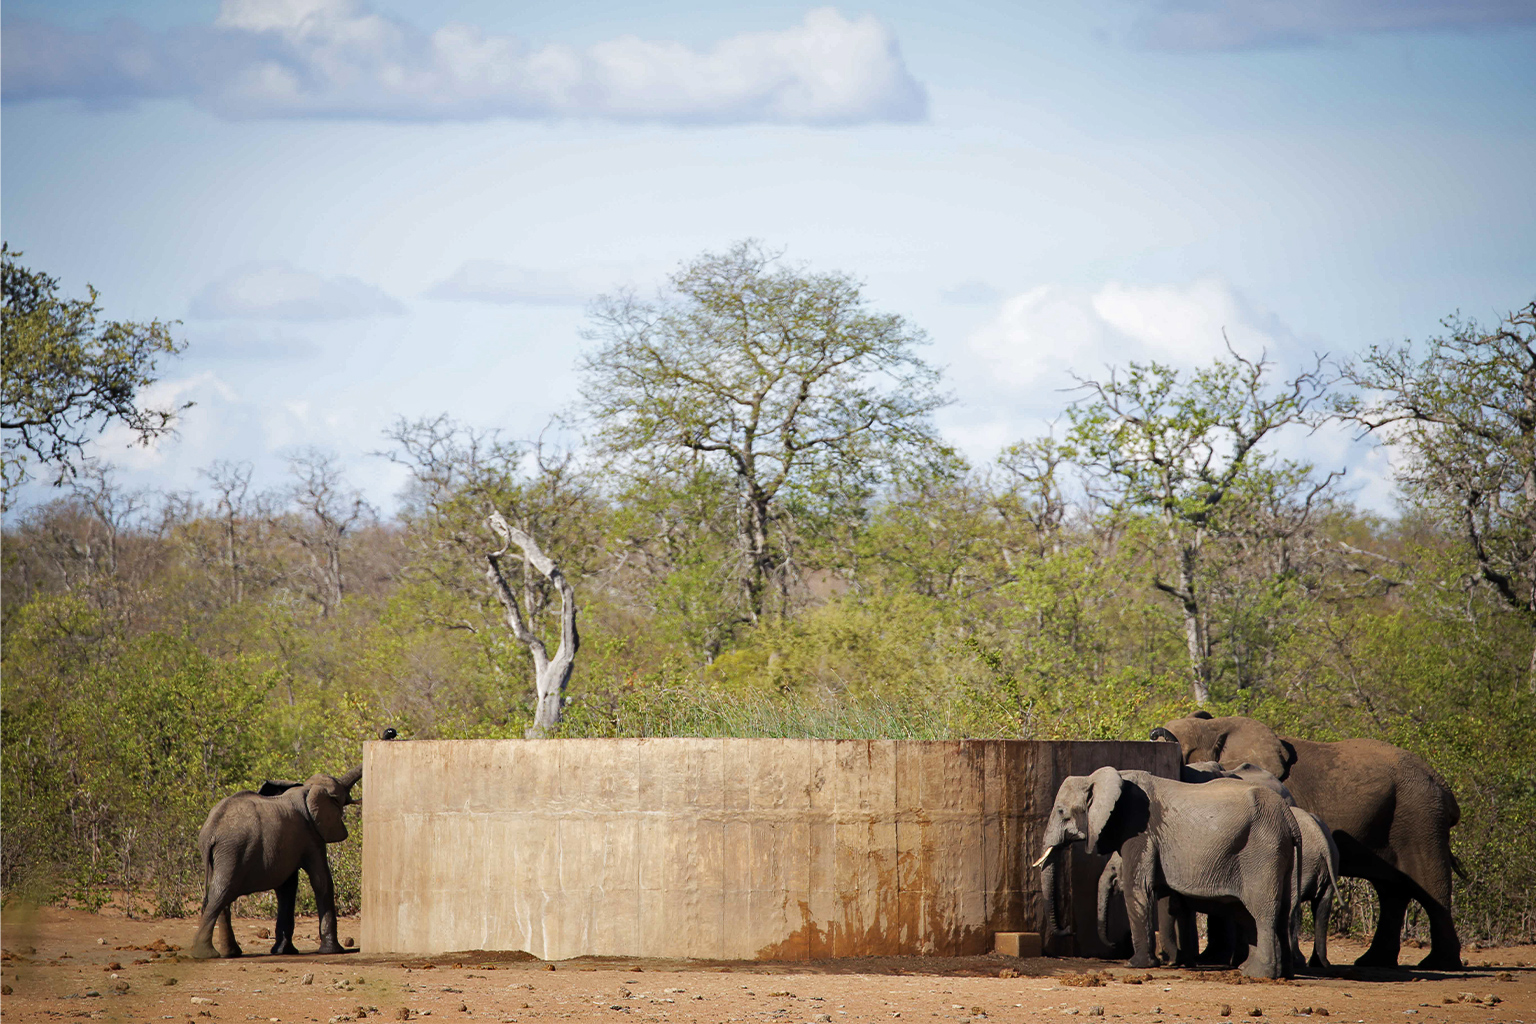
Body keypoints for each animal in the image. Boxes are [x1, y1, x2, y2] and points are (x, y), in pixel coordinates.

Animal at [188, 767, 359, 964]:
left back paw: (228, 953)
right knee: (221, 893)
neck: (306, 790)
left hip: (223, 854)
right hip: (233, 850)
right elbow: (321, 881)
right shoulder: (311, 836)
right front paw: (333, 951)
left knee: (221, 895)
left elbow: (287, 888)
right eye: (339, 798)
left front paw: (284, 951)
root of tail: (211, 831)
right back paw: (206, 954)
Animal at [1032, 767, 1296, 976]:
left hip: (1262, 850)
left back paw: (1259, 974)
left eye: (1061, 812)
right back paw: (1277, 972)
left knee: (1262, 910)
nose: (1068, 930)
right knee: (1280, 912)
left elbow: (1138, 887)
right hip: (1280, 851)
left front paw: (1137, 965)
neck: (1099, 778)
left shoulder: (1139, 828)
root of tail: (1289, 816)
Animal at [1155, 712, 1462, 970]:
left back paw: (1438, 964)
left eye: (1181, 756)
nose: (1157, 731)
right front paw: (1213, 959)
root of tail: (1445, 788)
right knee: (1392, 891)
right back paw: (1373, 962)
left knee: (1429, 886)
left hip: (1420, 817)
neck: (1214, 726)